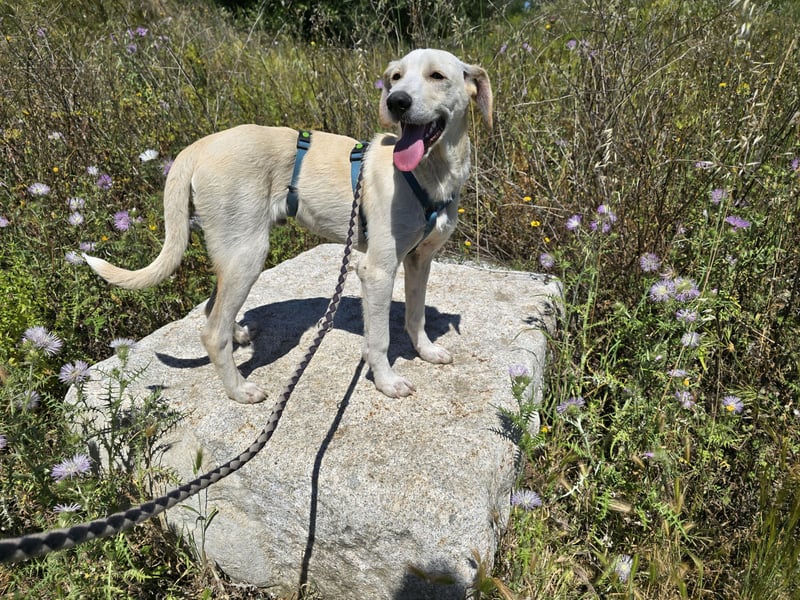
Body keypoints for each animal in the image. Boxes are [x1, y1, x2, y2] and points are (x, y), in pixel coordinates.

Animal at [84, 48, 493, 403]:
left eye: (437, 76)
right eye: (395, 77)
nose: (396, 102)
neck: (430, 173)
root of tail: (199, 145)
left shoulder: (419, 261)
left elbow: (416, 315)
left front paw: (427, 351)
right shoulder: (376, 269)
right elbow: (378, 339)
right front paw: (387, 382)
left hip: (232, 250)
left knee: (213, 307)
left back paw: (239, 334)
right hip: (248, 253)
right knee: (212, 332)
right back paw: (239, 390)